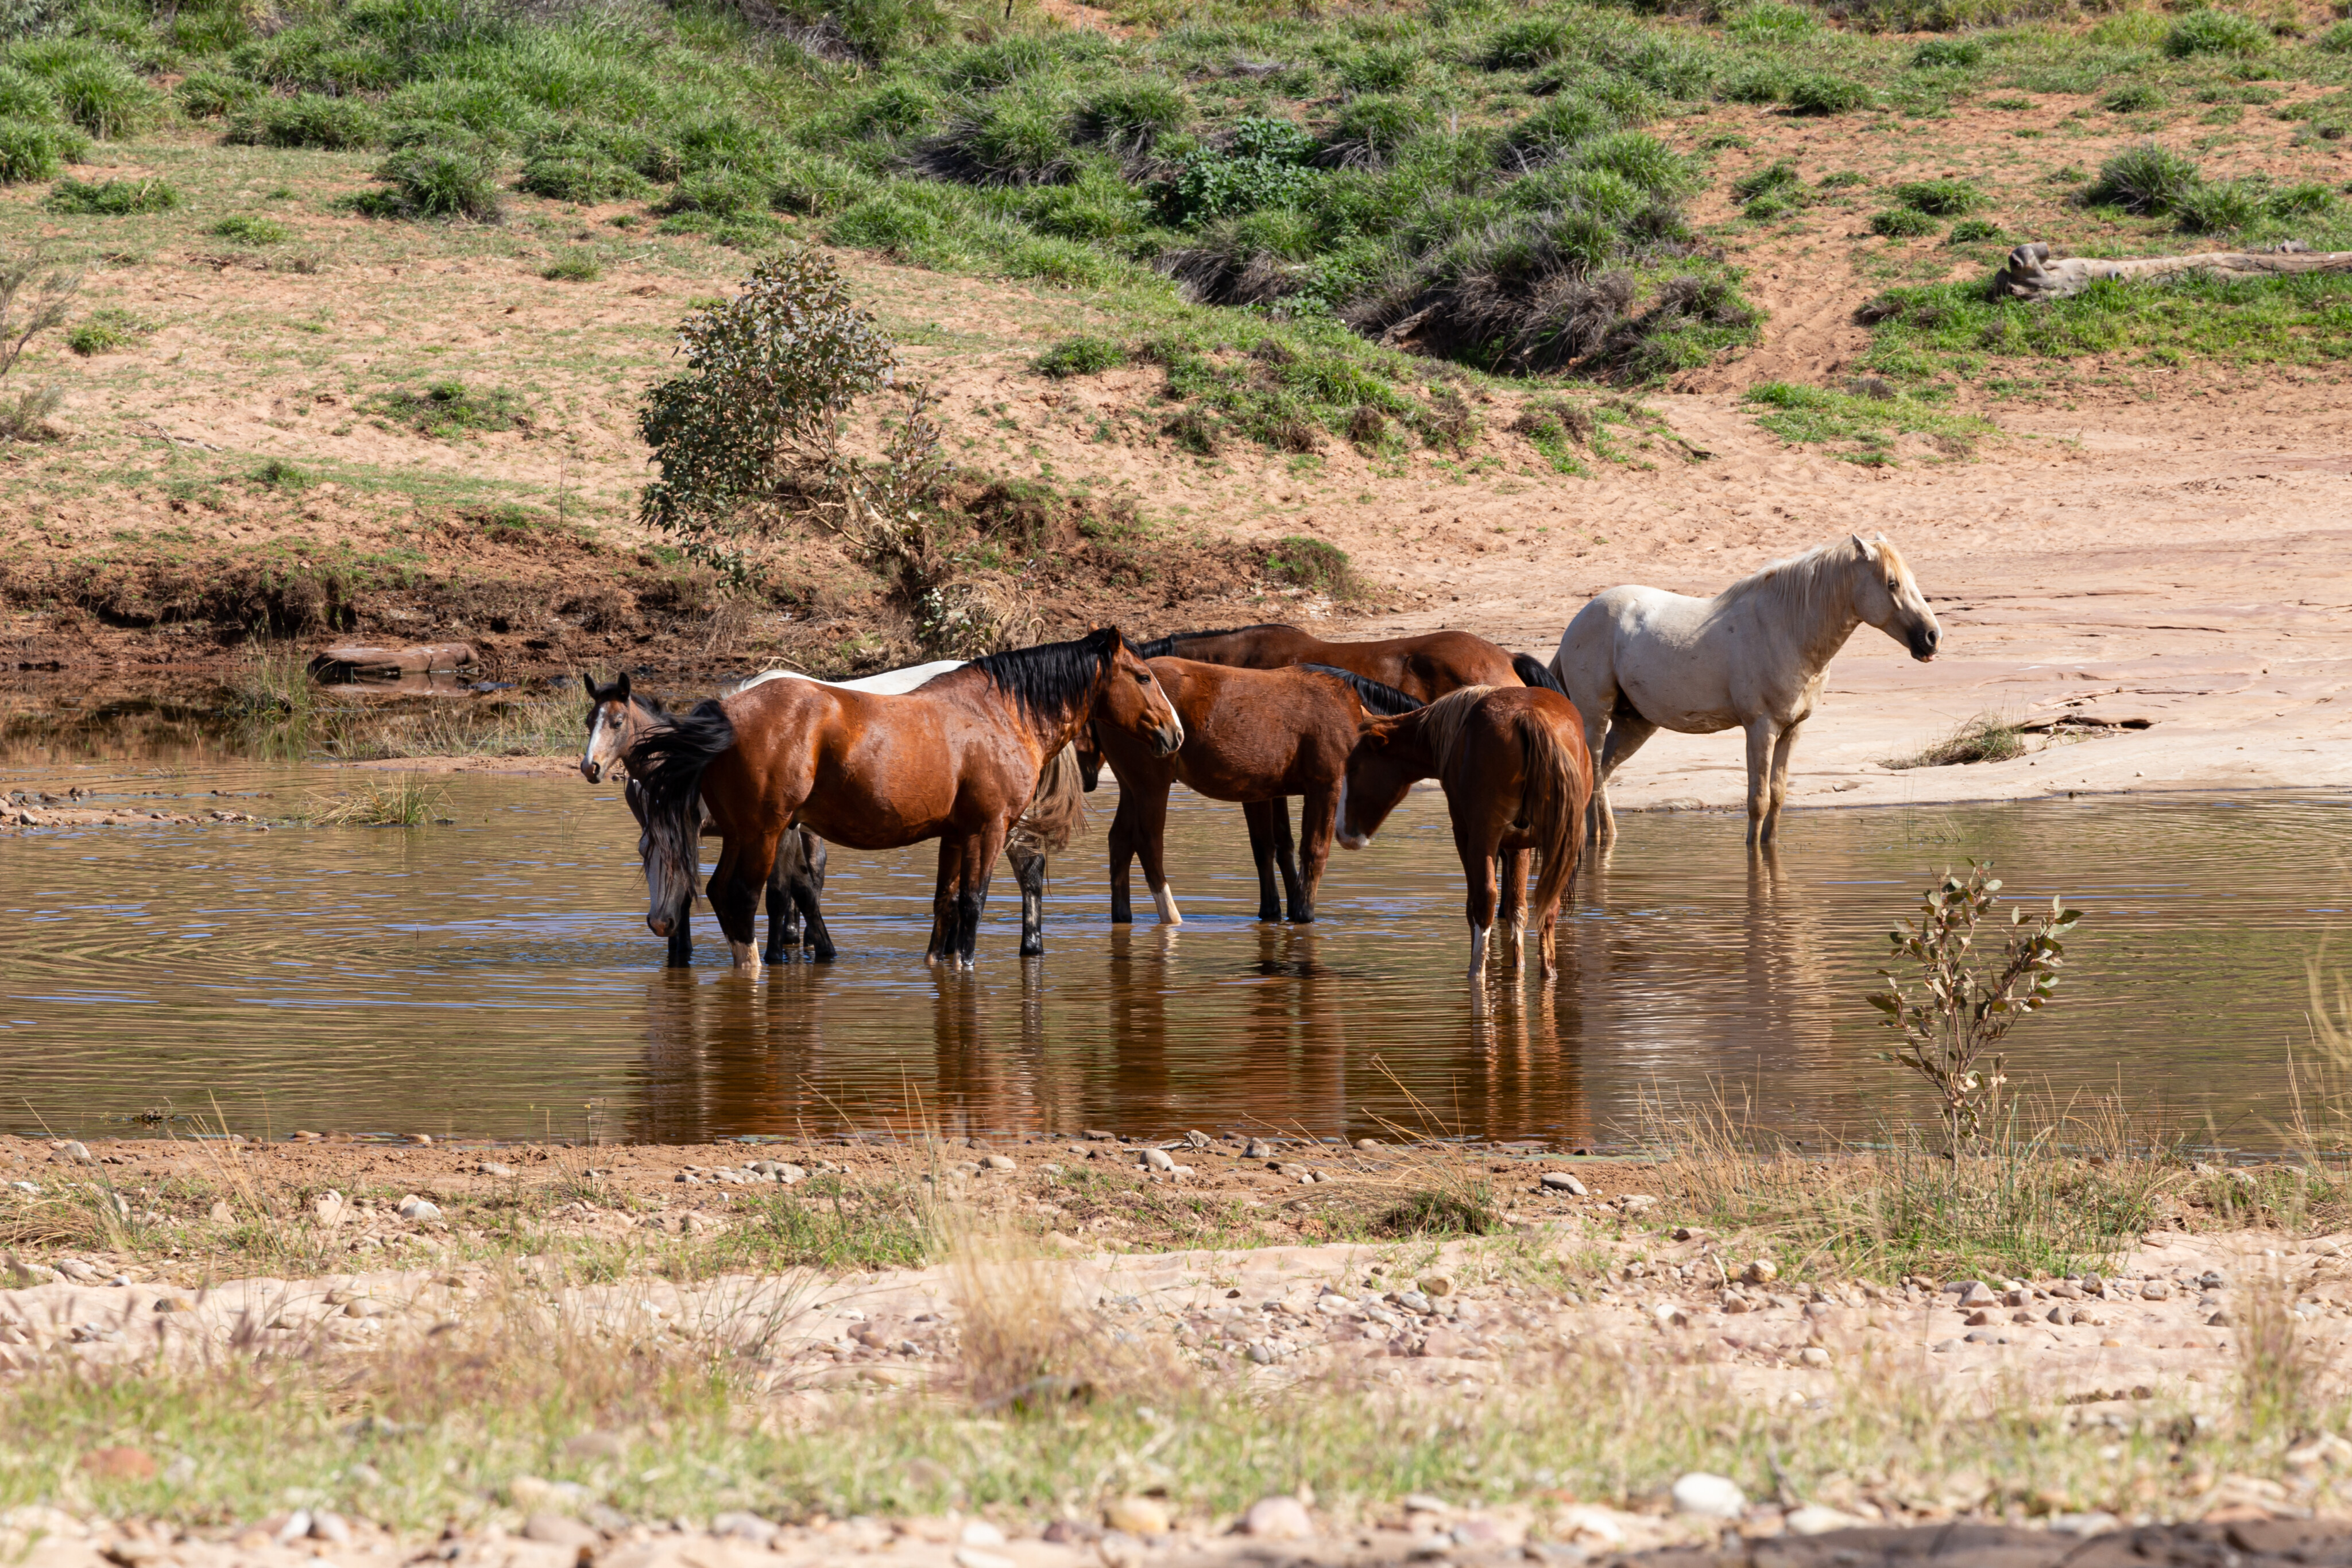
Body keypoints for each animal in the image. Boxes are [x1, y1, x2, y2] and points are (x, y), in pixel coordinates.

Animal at [635, 630, 1185, 973]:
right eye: (1142, 676)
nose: (1175, 732)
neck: (1000, 713)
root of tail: (723, 712)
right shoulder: (989, 827)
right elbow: (973, 901)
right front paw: (968, 963)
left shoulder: (956, 833)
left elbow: (946, 903)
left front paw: (942, 965)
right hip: (763, 834)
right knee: (741, 898)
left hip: (741, 834)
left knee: (721, 895)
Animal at [1077, 658, 1411, 926]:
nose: (1353, 839)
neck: (1348, 706)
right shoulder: (1325, 787)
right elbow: (1313, 852)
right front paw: (1304, 914)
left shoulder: (1266, 793)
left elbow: (1274, 849)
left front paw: (1278, 911)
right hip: (1151, 787)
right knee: (1149, 845)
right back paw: (1171, 916)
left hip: (1130, 787)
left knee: (1120, 841)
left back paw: (1123, 916)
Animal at [1345, 686, 1599, 982]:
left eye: (1354, 767)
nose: (1348, 833)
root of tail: (1528, 714)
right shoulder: (1518, 845)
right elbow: (1517, 908)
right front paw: (1518, 969)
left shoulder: (1464, 834)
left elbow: (1477, 905)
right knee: (1548, 906)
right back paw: (1547, 973)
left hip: (1484, 835)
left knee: (1485, 901)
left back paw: (1476, 973)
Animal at [1552, 533, 1938, 851]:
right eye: (1891, 583)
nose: (1933, 637)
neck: (1786, 629)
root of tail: (1579, 620)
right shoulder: (1760, 727)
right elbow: (1758, 799)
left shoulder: (1793, 729)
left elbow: (1778, 796)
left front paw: (1769, 848)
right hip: (1595, 717)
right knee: (1594, 775)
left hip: (1636, 723)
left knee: (1603, 775)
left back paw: (1607, 838)